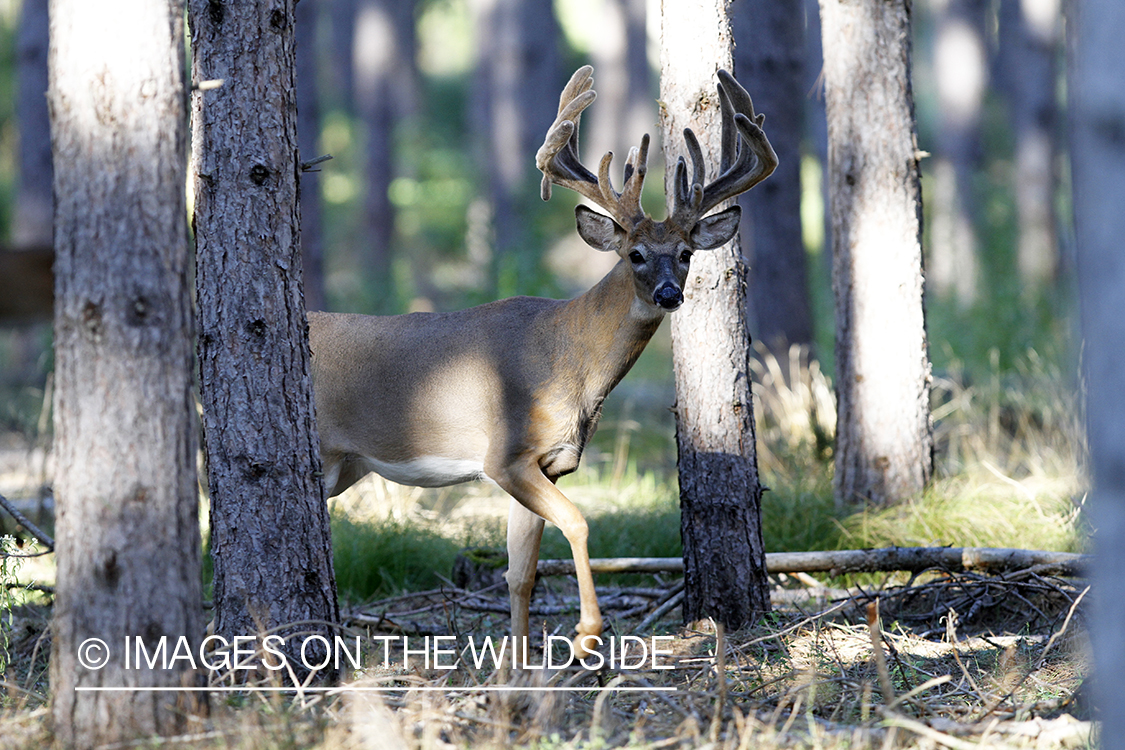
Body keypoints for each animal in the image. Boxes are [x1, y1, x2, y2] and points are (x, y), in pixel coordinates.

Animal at [306, 64, 774, 661]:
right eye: (635, 254)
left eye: (687, 253)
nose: (669, 294)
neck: (566, 361)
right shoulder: (504, 455)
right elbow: (577, 522)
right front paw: (587, 633)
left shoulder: (546, 462)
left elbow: (520, 572)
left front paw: (518, 666)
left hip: (344, 467)